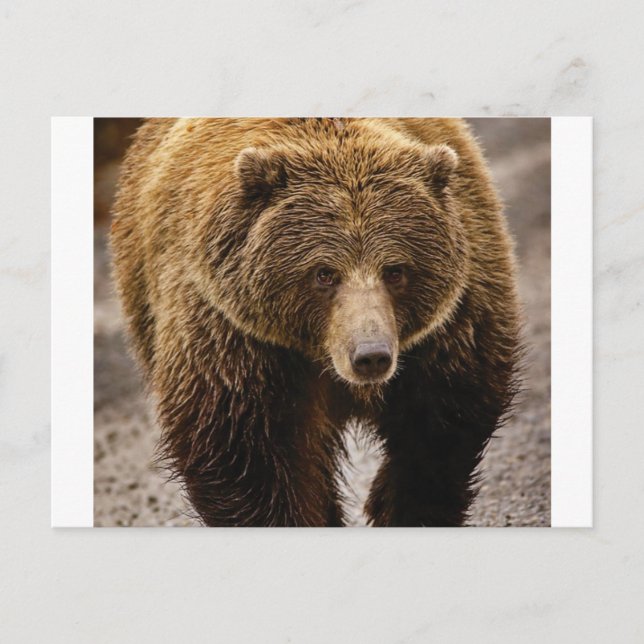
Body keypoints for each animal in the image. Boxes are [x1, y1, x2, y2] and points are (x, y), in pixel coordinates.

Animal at [110, 117, 521, 527]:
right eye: (324, 273)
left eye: (395, 270)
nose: (370, 356)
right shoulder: (233, 335)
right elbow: (240, 451)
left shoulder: (451, 325)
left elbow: (441, 428)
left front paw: (398, 507)